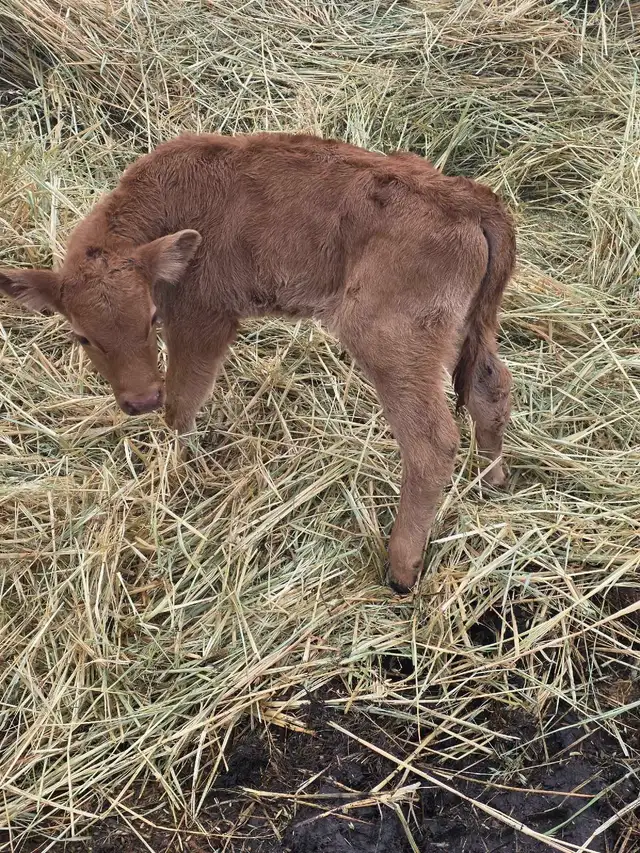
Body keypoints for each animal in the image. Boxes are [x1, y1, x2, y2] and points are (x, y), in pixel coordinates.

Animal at [0, 132, 515, 592]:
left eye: (150, 318)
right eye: (82, 336)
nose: (141, 399)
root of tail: (467, 198)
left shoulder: (203, 317)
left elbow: (183, 400)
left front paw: (184, 472)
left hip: (391, 342)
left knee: (431, 441)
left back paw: (401, 570)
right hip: (469, 329)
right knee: (490, 388)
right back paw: (494, 482)